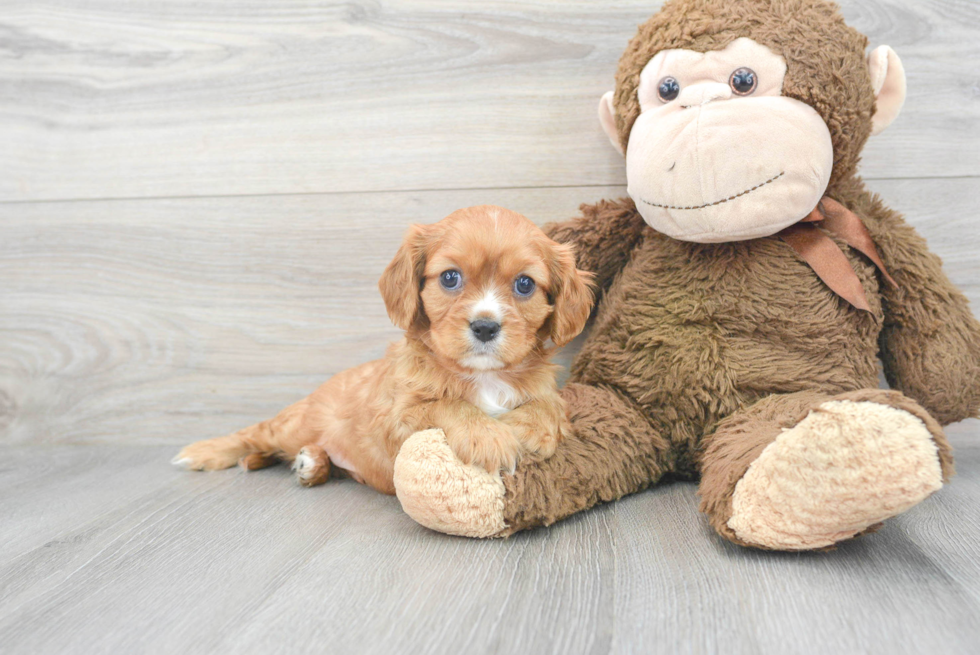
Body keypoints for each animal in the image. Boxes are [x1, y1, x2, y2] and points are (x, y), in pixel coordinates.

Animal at [172, 205, 592, 492]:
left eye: (524, 284)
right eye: (450, 277)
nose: (485, 326)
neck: (483, 375)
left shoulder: (543, 390)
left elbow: (551, 405)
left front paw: (530, 429)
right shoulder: (397, 417)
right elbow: (447, 404)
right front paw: (487, 436)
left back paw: (313, 463)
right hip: (292, 425)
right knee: (256, 433)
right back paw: (207, 451)